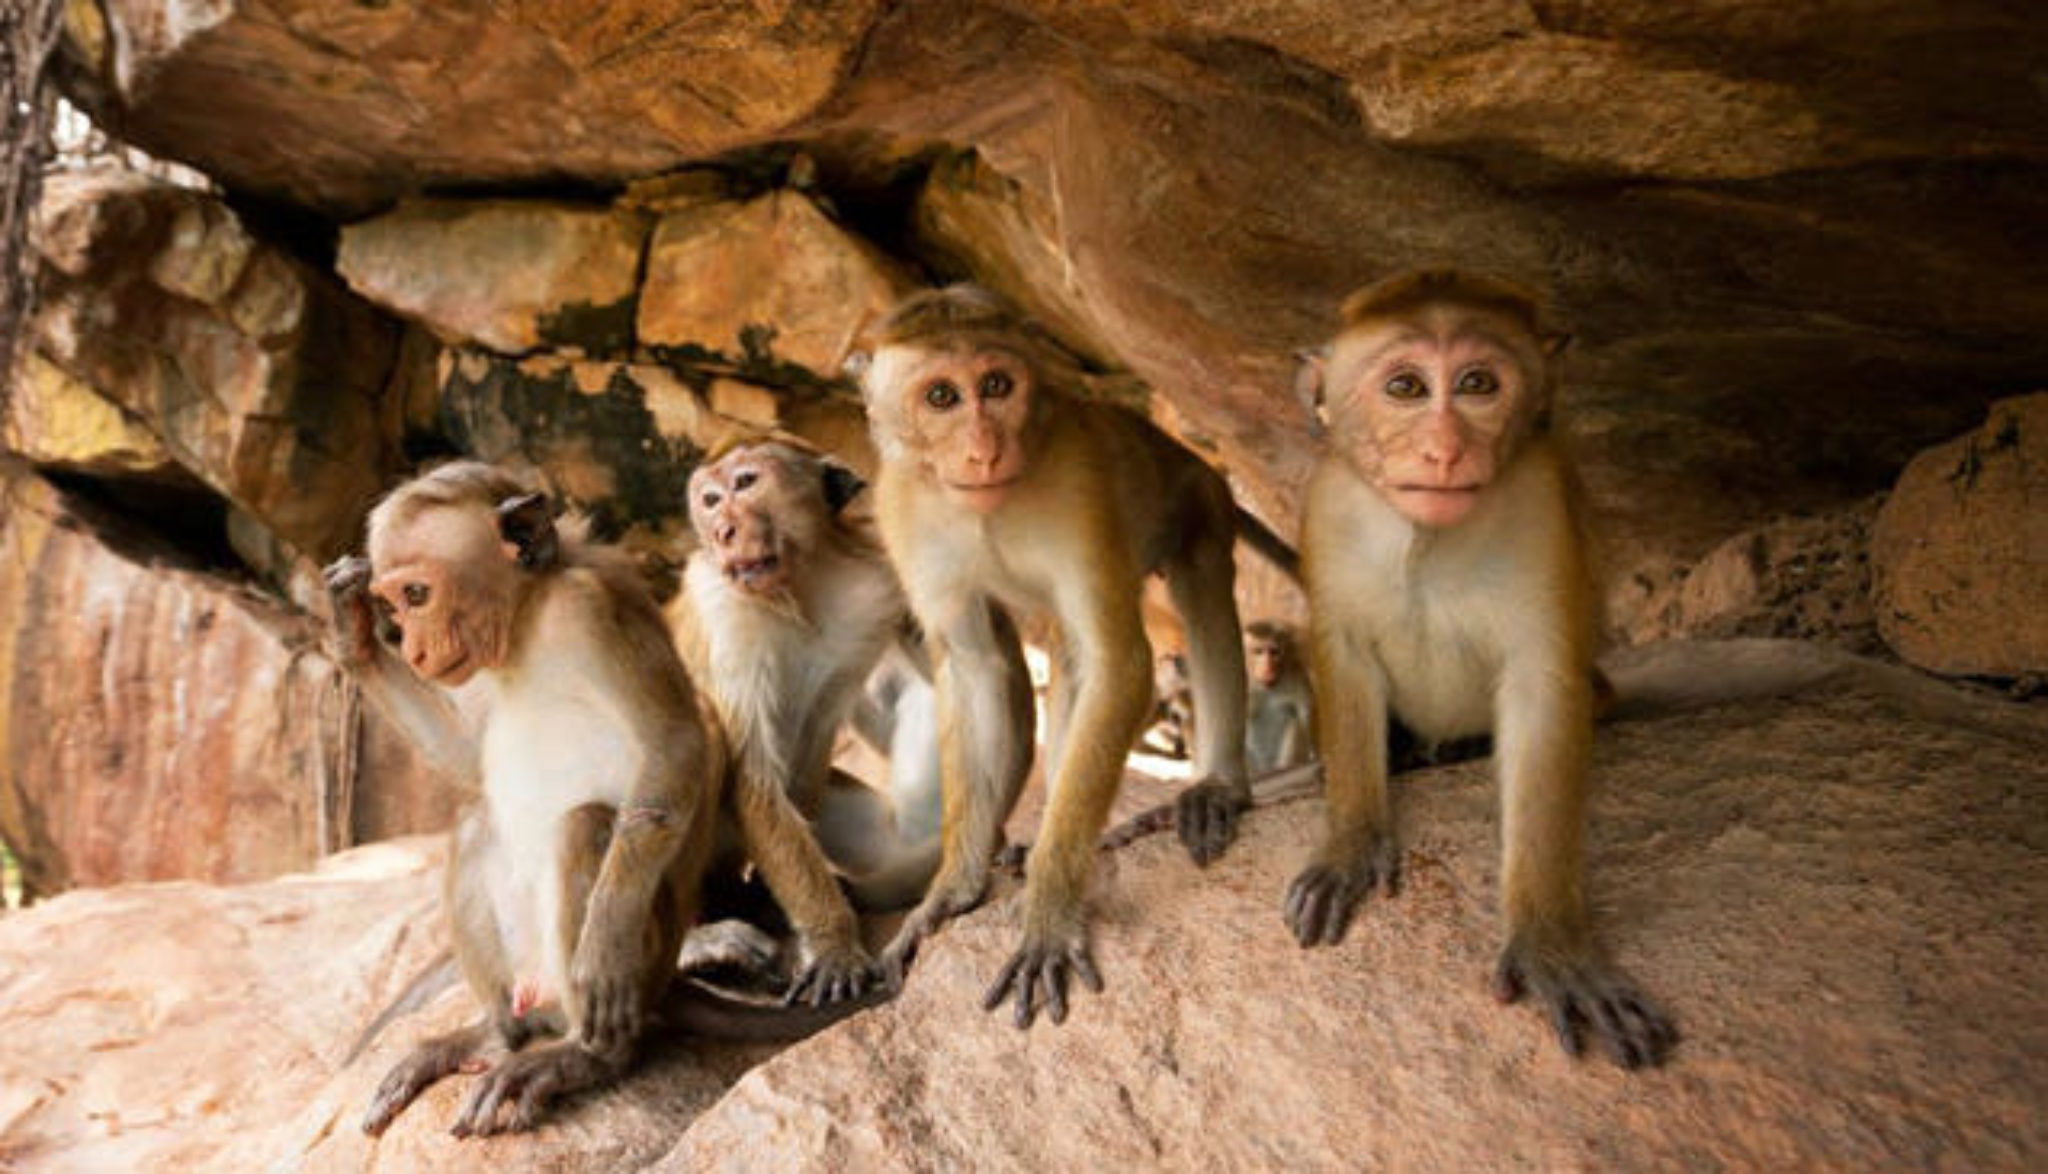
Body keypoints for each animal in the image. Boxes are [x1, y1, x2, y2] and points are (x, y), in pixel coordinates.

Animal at [325, 462, 867, 1138]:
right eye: (393, 603)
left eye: (418, 595)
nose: (417, 650)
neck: (526, 621)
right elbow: (467, 755)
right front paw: (351, 635)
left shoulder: (592, 610)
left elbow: (676, 743)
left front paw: (605, 947)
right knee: (475, 824)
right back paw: (497, 1035)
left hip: (643, 956)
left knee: (584, 826)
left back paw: (587, 1056)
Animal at [666, 437, 947, 1007]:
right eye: (709, 500)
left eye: (745, 482)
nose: (722, 531)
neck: (798, 592)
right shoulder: (723, 611)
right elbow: (753, 782)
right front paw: (834, 943)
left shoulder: (871, 592)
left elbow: (810, 750)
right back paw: (693, 942)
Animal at [848, 283, 1269, 1028]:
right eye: (941, 397)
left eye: (995, 384)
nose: (984, 450)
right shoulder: (902, 510)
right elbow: (975, 668)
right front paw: (953, 888)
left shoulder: (1080, 487)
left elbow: (1120, 664)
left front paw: (1047, 912)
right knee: (1061, 662)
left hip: (1200, 497)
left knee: (1198, 592)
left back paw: (1216, 786)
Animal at [1243, 620, 1315, 773]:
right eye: (1258, 652)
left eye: (1274, 652)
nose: (1268, 667)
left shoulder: (1295, 673)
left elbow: (1305, 714)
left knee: (1294, 721)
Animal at [1282, 268, 1677, 1069]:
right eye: (1405, 386)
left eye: (1476, 384)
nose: (1443, 449)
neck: (1423, 537)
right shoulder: (1328, 505)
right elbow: (1343, 654)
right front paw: (1350, 837)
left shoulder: (1540, 499)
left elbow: (1541, 688)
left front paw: (1550, 938)